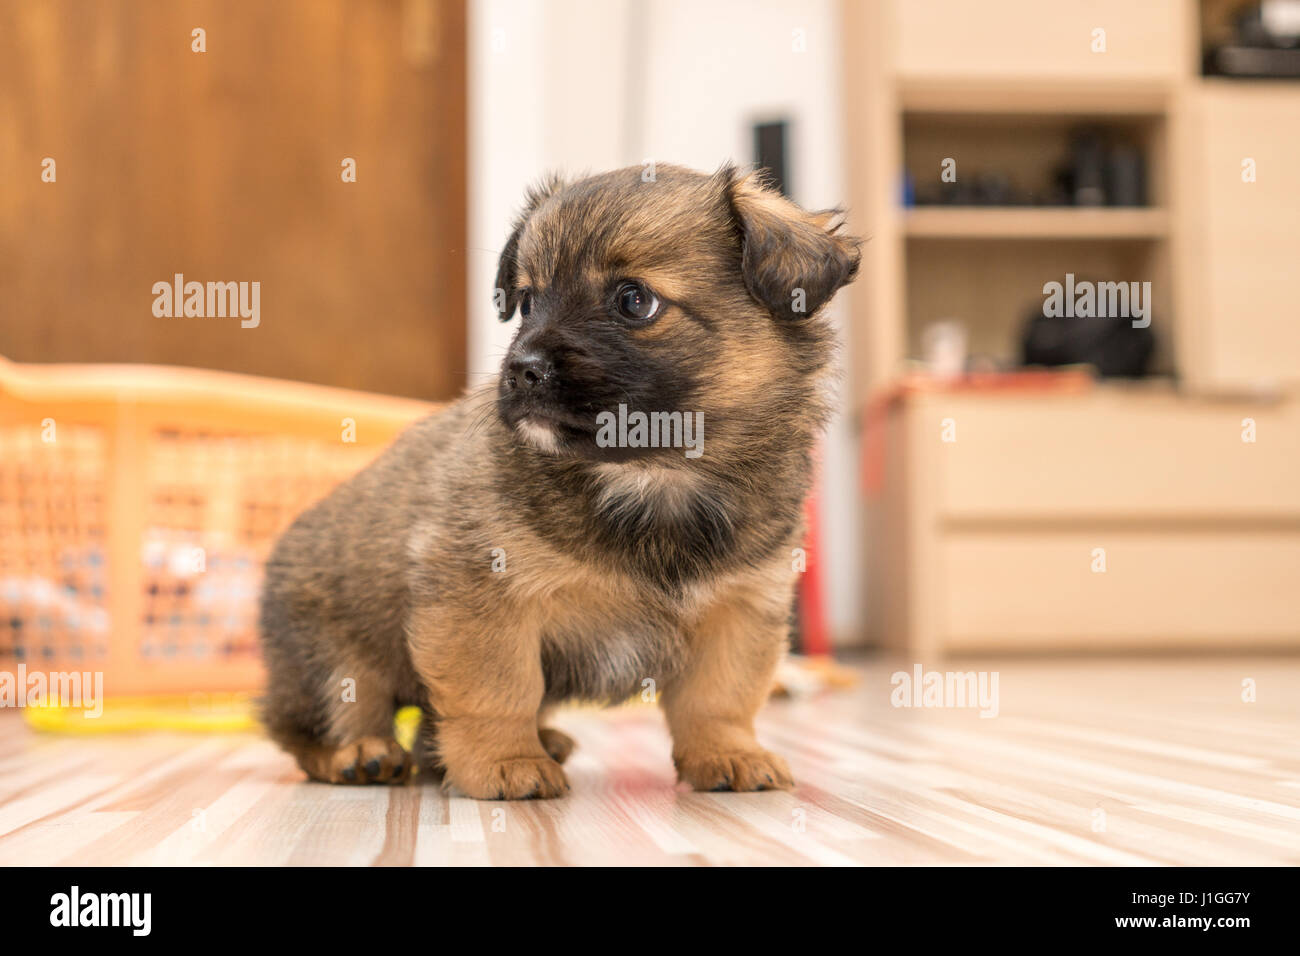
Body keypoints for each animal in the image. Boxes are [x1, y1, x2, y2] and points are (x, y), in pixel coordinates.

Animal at [257, 164, 857, 801]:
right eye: (527, 302)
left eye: (634, 301)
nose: (522, 369)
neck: (653, 476)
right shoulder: (482, 599)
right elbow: (498, 689)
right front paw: (505, 762)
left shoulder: (739, 606)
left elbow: (720, 698)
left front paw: (728, 753)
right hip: (329, 659)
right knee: (317, 721)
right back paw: (359, 755)